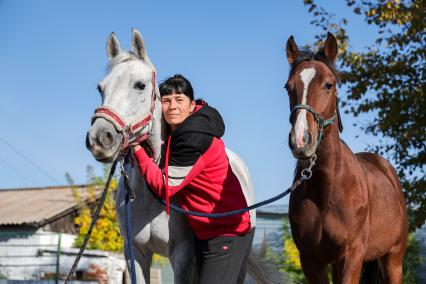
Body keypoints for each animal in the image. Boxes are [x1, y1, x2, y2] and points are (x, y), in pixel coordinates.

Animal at [284, 32, 408, 282]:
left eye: (329, 85)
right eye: (288, 87)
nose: (301, 140)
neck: (327, 190)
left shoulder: (352, 256)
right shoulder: (311, 261)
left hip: (393, 259)